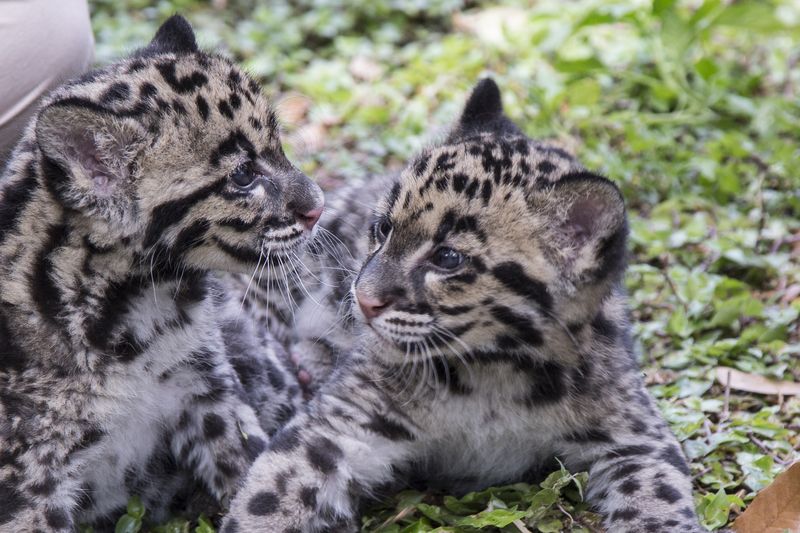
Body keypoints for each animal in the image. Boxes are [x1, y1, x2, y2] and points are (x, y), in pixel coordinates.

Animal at [0, 15, 322, 531]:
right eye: (243, 176)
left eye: (279, 147)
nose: (319, 206)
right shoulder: (30, 477)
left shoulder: (209, 395)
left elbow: (250, 470)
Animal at [221, 79, 706, 533]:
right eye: (383, 228)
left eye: (448, 258)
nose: (364, 298)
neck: (492, 374)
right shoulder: (345, 421)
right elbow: (272, 493)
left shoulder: (632, 433)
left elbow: (658, 498)